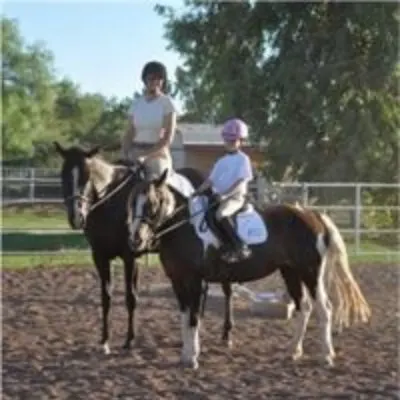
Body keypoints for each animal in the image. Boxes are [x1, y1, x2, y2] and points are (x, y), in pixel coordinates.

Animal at [54, 143, 205, 354]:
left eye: (87, 176)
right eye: (64, 175)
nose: (77, 217)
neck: (111, 204)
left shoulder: (130, 257)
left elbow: (130, 297)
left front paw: (129, 340)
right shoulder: (99, 256)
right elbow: (106, 297)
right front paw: (105, 341)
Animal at [126, 170, 370, 370]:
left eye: (152, 203)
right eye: (133, 202)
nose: (135, 240)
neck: (184, 226)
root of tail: (314, 216)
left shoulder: (195, 281)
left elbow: (193, 318)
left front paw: (193, 358)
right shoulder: (177, 281)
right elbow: (185, 317)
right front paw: (186, 356)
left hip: (310, 272)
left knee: (324, 308)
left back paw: (326, 356)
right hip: (290, 271)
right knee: (304, 307)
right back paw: (293, 351)